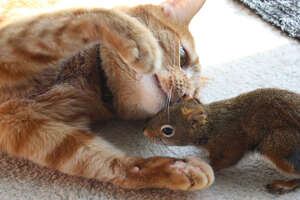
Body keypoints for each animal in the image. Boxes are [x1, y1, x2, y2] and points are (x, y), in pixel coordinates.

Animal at [0, 0, 213, 191]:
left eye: (190, 98)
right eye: (183, 56)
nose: (184, 93)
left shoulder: (22, 126)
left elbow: (98, 161)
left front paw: (169, 170)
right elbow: (84, 16)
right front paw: (140, 40)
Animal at [143, 88, 300, 195]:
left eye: (167, 130)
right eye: (162, 111)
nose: (145, 132)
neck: (211, 127)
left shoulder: (230, 143)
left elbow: (226, 160)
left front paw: (206, 165)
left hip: (277, 146)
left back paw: (283, 185)